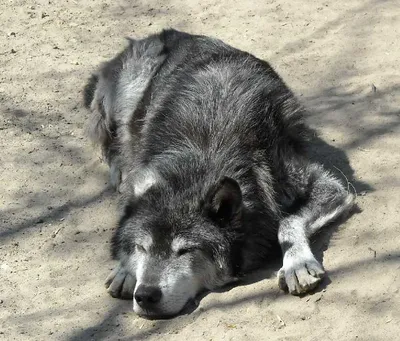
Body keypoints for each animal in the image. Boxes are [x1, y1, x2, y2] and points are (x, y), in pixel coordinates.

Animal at [83, 29, 354, 318]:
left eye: (186, 250)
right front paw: (125, 269)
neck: (207, 152)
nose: (145, 295)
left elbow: (288, 221)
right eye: (142, 248)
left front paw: (297, 263)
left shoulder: (325, 186)